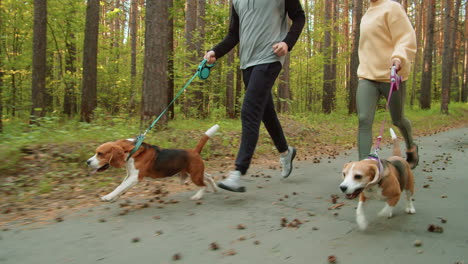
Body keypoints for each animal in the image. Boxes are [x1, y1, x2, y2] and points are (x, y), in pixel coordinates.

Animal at [87, 125, 220, 201]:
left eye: (100, 153)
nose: (87, 162)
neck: (132, 151)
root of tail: (194, 151)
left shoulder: (135, 178)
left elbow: (120, 187)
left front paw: (108, 196)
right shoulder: (129, 175)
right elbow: (121, 186)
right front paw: (115, 196)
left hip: (195, 175)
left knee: (203, 185)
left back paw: (198, 196)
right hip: (195, 172)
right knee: (209, 177)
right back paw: (215, 188)